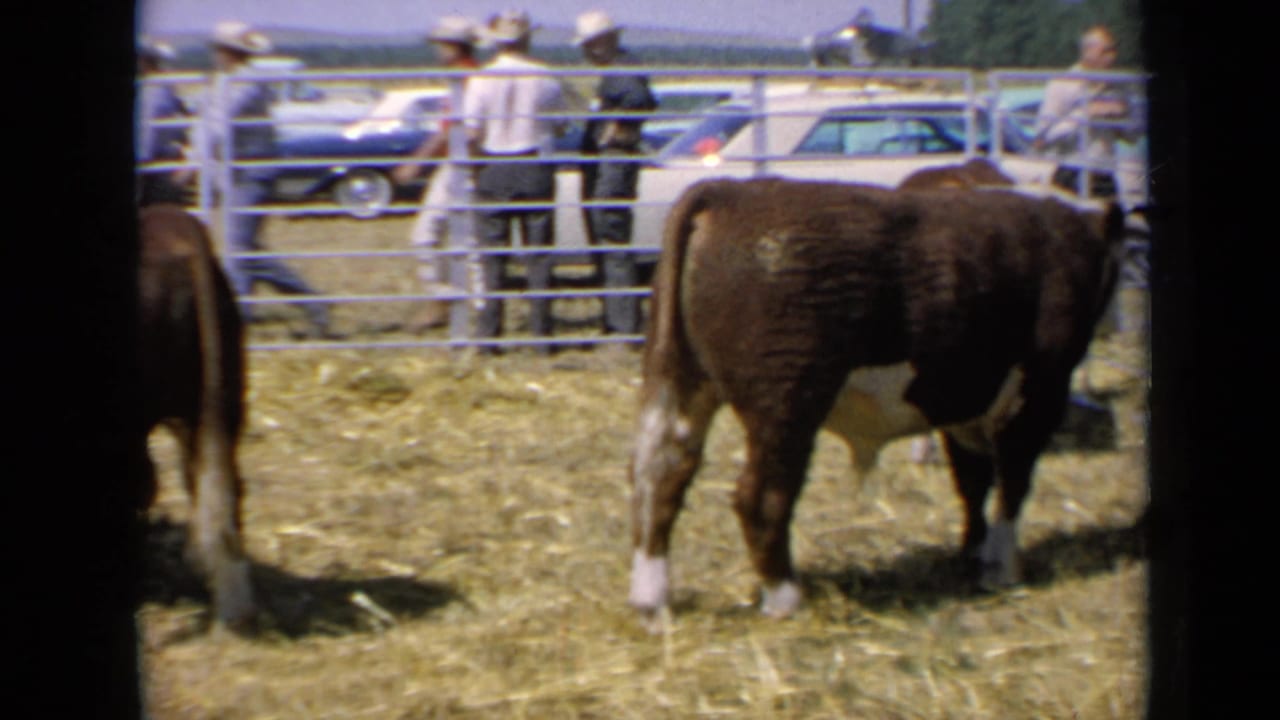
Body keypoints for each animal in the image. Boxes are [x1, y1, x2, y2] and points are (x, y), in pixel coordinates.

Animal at [627, 177, 1124, 621]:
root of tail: (727, 191)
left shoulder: (963, 401)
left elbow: (972, 480)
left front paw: (972, 551)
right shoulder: (1039, 391)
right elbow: (1012, 484)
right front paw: (1001, 568)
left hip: (678, 379)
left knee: (659, 477)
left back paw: (652, 602)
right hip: (786, 402)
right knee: (760, 495)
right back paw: (786, 599)